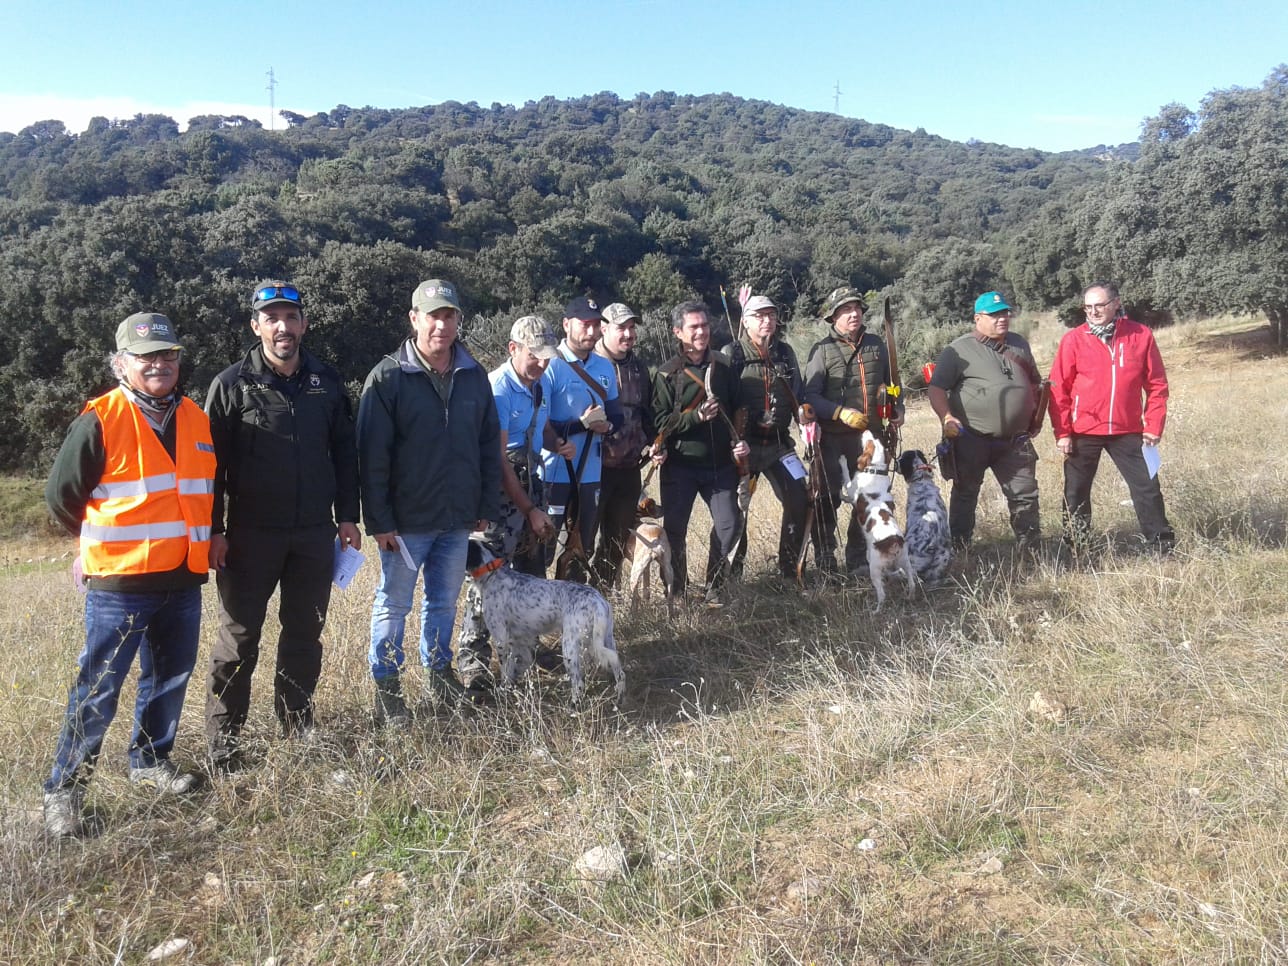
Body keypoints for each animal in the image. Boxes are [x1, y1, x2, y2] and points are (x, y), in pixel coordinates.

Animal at [463, 538, 623, 705]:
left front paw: (503, 691)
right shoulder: (519, 639)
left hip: (570, 646)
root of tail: (598, 600)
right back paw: (619, 699)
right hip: (607, 639)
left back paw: (573, 704)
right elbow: (516, 664)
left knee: (578, 682)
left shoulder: (501, 638)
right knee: (619, 671)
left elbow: (505, 670)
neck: (491, 575)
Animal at [839, 432, 922, 607]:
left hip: (874, 568)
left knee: (882, 595)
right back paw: (909, 597)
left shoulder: (851, 490)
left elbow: (845, 477)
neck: (875, 470)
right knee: (912, 583)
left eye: (869, 441)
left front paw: (842, 460)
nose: (865, 431)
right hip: (905, 563)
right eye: (876, 439)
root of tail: (893, 542)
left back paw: (876, 609)